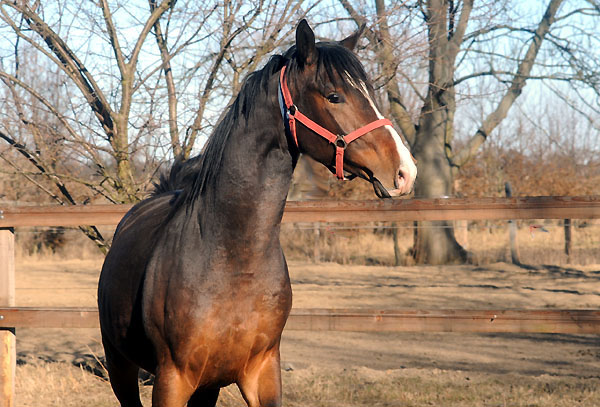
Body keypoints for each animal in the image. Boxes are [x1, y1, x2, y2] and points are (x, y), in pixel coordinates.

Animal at [98, 19, 418, 407]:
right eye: (334, 96)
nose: (404, 171)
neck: (232, 259)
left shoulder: (262, 372)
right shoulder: (171, 380)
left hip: (208, 386)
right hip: (120, 366)